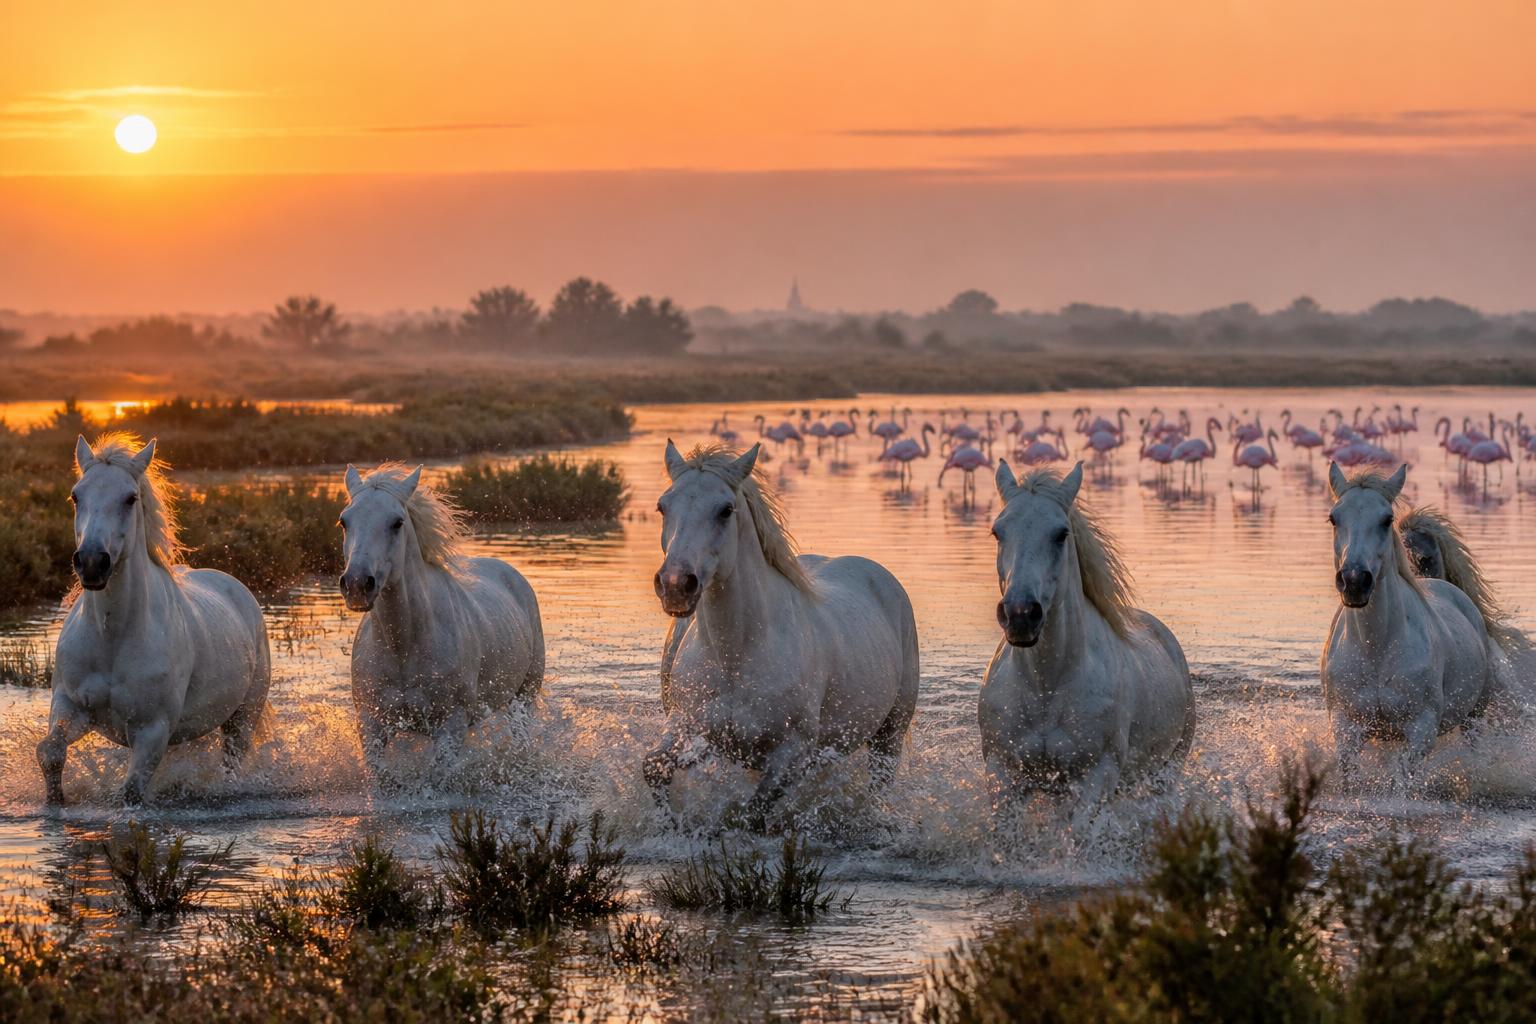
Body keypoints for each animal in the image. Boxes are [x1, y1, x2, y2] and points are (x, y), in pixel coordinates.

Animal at [41, 434, 271, 806]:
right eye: (76, 495)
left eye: (130, 498)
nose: (91, 563)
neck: (113, 638)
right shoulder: (69, 705)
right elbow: (50, 753)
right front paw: (55, 803)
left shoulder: (152, 730)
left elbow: (130, 793)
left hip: (243, 718)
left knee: (233, 761)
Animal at [340, 463, 544, 772]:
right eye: (344, 521)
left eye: (397, 522)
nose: (357, 584)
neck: (404, 647)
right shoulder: (371, 723)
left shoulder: (451, 724)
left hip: (524, 695)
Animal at [646, 441, 920, 831]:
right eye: (662, 506)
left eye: (725, 510)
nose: (675, 586)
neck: (736, 655)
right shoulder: (693, 732)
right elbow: (653, 768)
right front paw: (670, 825)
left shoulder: (792, 753)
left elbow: (752, 814)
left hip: (891, 733)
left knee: (879, 784)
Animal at [979, 460, 1194, 813]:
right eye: (998, 532)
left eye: (1061, 534)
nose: (1021, 615)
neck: (1046, 687)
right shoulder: (1004, 773)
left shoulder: (1096, 778)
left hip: (1166, 772)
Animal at [1322, 464, 1505, 787]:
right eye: (1334, 518)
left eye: (1386, 519)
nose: (1355, 581)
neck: (1376, 649)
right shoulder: (1347, 727)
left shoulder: (1421, 731)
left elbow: (1401, 783)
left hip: (1474, 714)